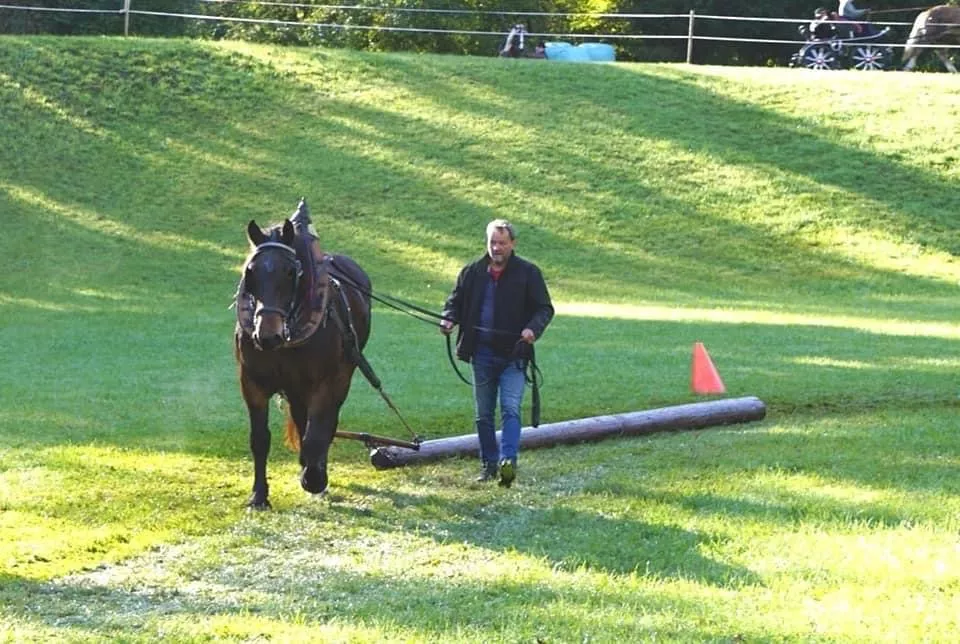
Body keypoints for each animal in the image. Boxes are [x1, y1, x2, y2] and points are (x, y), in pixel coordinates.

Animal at [233, 199, 372, 510]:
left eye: (289, 272)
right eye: (250, 272)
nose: (267, 335)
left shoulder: (329, 381)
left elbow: (316, 434)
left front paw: (315, 479)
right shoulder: (252, 383)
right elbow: (260, 439)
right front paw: (259, 495)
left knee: (324, 425)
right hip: (296, 388)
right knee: (300, 418)